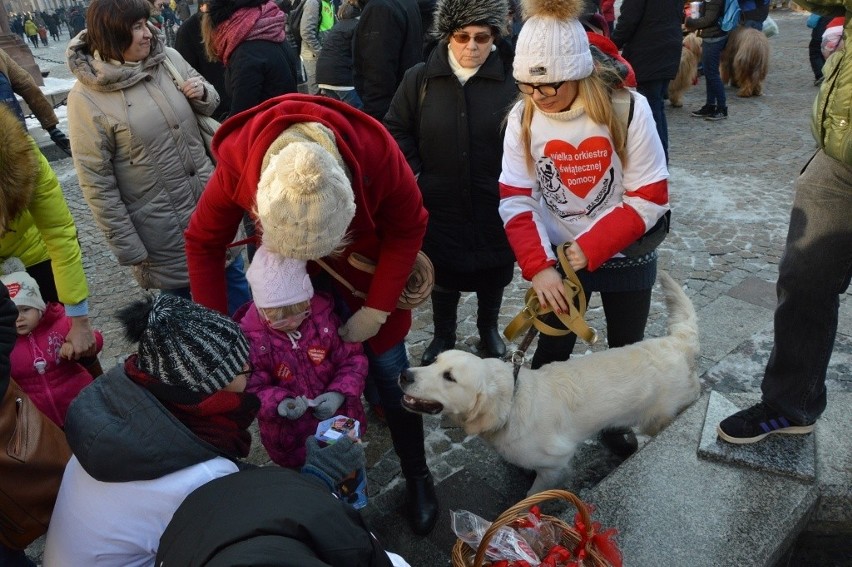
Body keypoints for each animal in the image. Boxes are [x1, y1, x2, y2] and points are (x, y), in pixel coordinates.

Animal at [400, 272, 700, 494]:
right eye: (434, 361)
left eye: (449, 377)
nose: (404, 374)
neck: (512, 401)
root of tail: (676, 342)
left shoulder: (555, 464)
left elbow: (532, 496)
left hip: (658, 416)